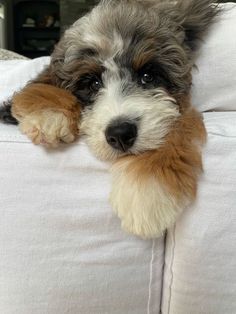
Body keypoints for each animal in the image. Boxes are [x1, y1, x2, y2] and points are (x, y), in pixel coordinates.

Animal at [0, 0, 218, 238]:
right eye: (93, 84)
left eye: (147, 76)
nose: (120, 134)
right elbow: (44, 81)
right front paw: (49, 115)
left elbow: (179, 124)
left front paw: (148, 194)